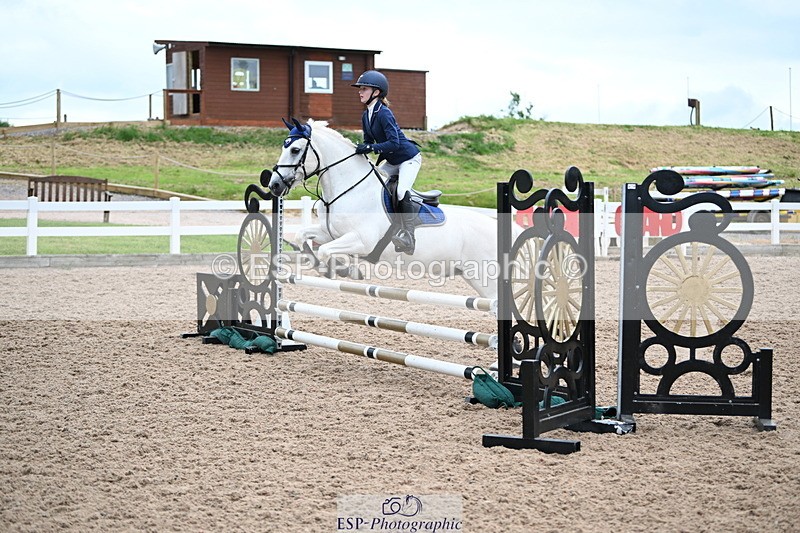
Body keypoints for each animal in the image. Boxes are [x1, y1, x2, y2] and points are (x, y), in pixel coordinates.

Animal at [268, 118, 512, 300]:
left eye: (295, 149)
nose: (274, 185)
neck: (351, 188)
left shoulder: (361, 240)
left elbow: (326, 251)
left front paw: (342, 269)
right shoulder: (330, 233)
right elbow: (302, 237)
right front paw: (320, 265)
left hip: (486, 279)